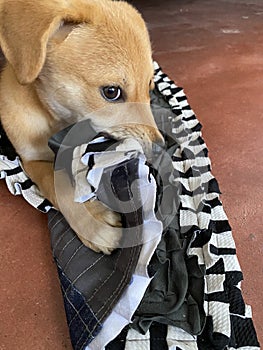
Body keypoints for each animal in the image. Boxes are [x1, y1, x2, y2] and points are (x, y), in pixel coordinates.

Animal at [0, 0, 164, 253]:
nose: (159, 149)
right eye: (111, 92)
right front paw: (93, 224)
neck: (57, 120)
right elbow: (56, 182)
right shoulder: (31, 159)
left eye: (150, 87)